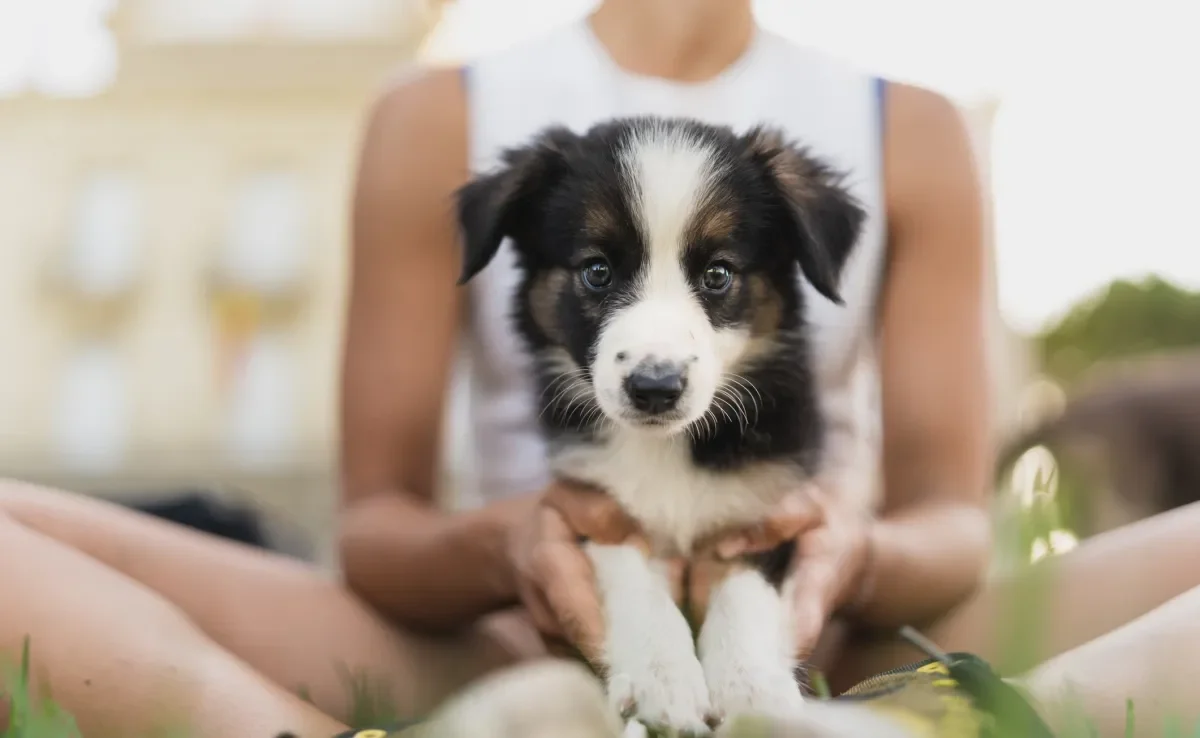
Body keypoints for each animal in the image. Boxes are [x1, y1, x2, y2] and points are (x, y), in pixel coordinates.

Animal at [456, 117, 864, 734]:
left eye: (718, 274)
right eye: (597, 271)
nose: (654, 387)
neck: (665, 448)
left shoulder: (764, 509)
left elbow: (742, 592)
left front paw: (754, 690)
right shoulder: (594, 506)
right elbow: (635, 582)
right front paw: (663, 680)